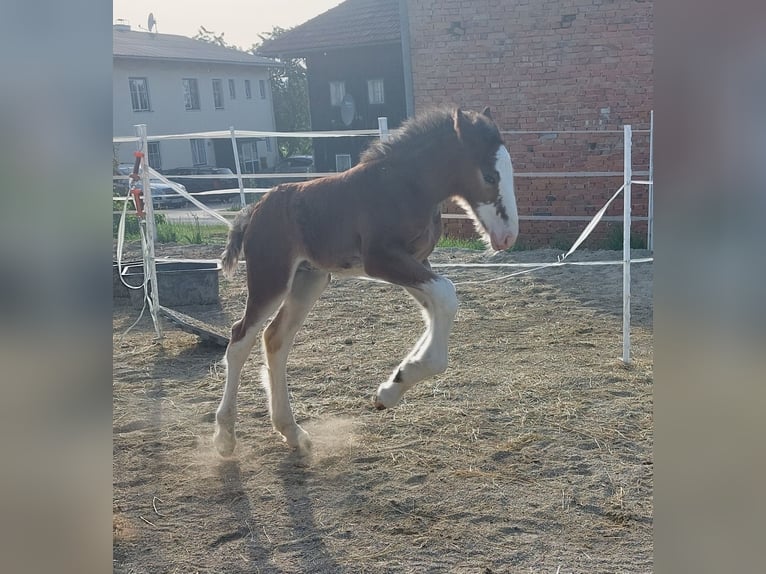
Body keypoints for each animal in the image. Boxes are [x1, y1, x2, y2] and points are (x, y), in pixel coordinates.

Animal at [213, 108, 520, 456]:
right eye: (489, 176)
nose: (507, 237)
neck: (406, 185)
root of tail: (253, 209)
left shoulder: (417, 260)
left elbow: (435, 308)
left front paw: (395, 383)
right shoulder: (381, 259)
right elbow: (446, 295)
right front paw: (399, 380)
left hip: (309, 280)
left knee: (275, 338)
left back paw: (291, 431)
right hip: (271, 279)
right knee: (240, 338)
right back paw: (225, 437)